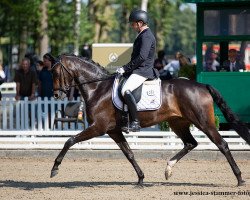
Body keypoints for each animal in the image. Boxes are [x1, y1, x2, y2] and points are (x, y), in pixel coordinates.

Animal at [50, 54, 250, 187]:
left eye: (56, 72)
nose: (56, 95)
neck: (98, 88)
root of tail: (202, 86)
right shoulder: (113, 130)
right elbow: (129, 153)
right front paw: (140, 179)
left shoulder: (98, 127)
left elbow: (69, 140)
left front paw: (55, 169)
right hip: (178, 123)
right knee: (190, 143)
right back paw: (168, 169)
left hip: (204, 123)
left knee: (222, 144)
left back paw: (240, 178)